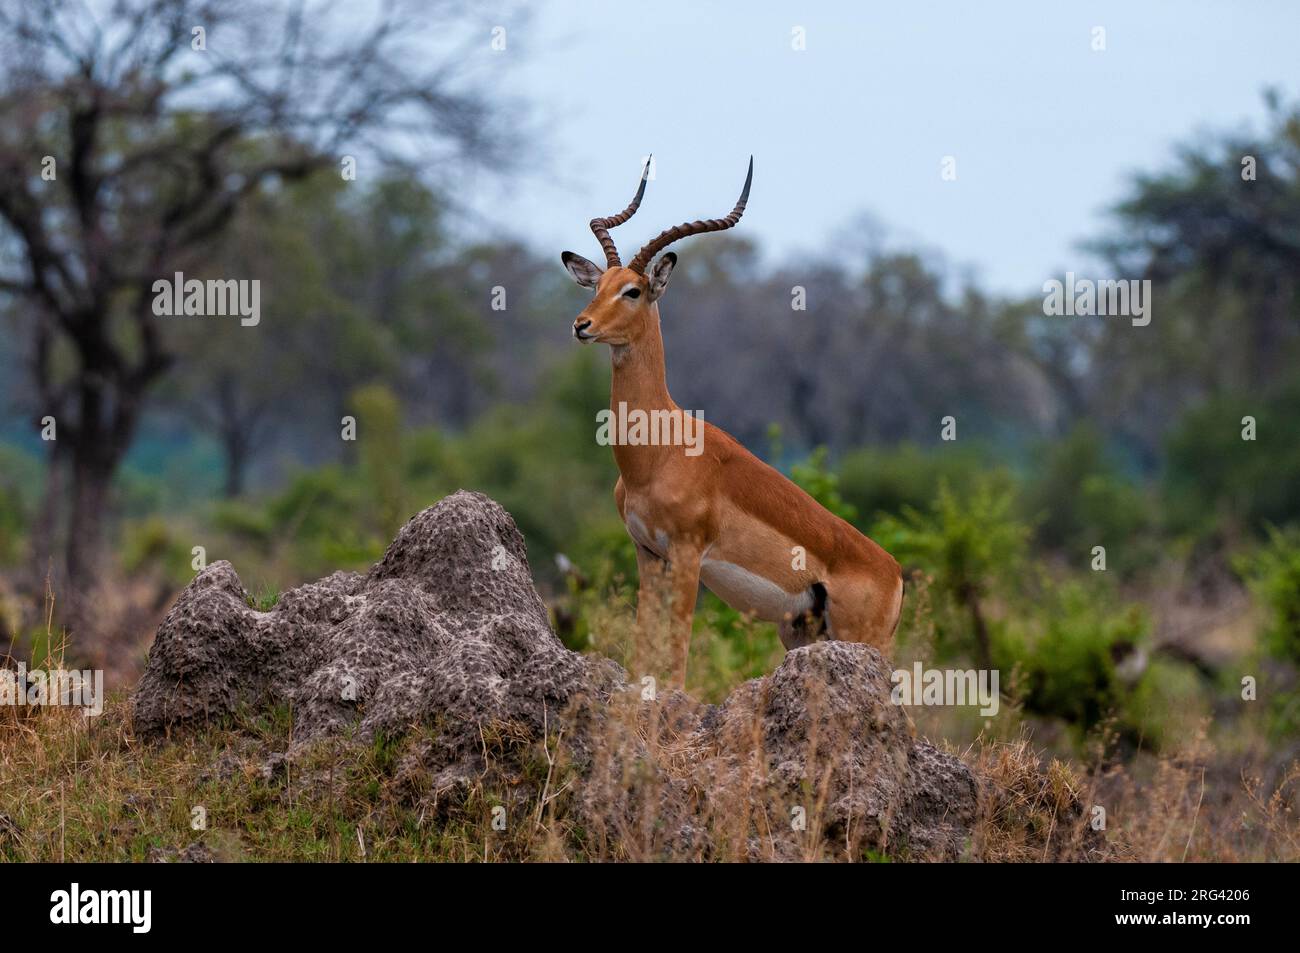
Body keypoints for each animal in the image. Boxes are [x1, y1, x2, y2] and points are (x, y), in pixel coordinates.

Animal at [561, 158, 903, 687]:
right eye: (597, 286)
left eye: (633, 290)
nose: (582, 325)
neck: (659, 451)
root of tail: (897, 574)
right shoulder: (648, 553)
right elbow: (643, 643)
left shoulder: (687, 555)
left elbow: (677, 653)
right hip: (802, 633)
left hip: (865, 642)